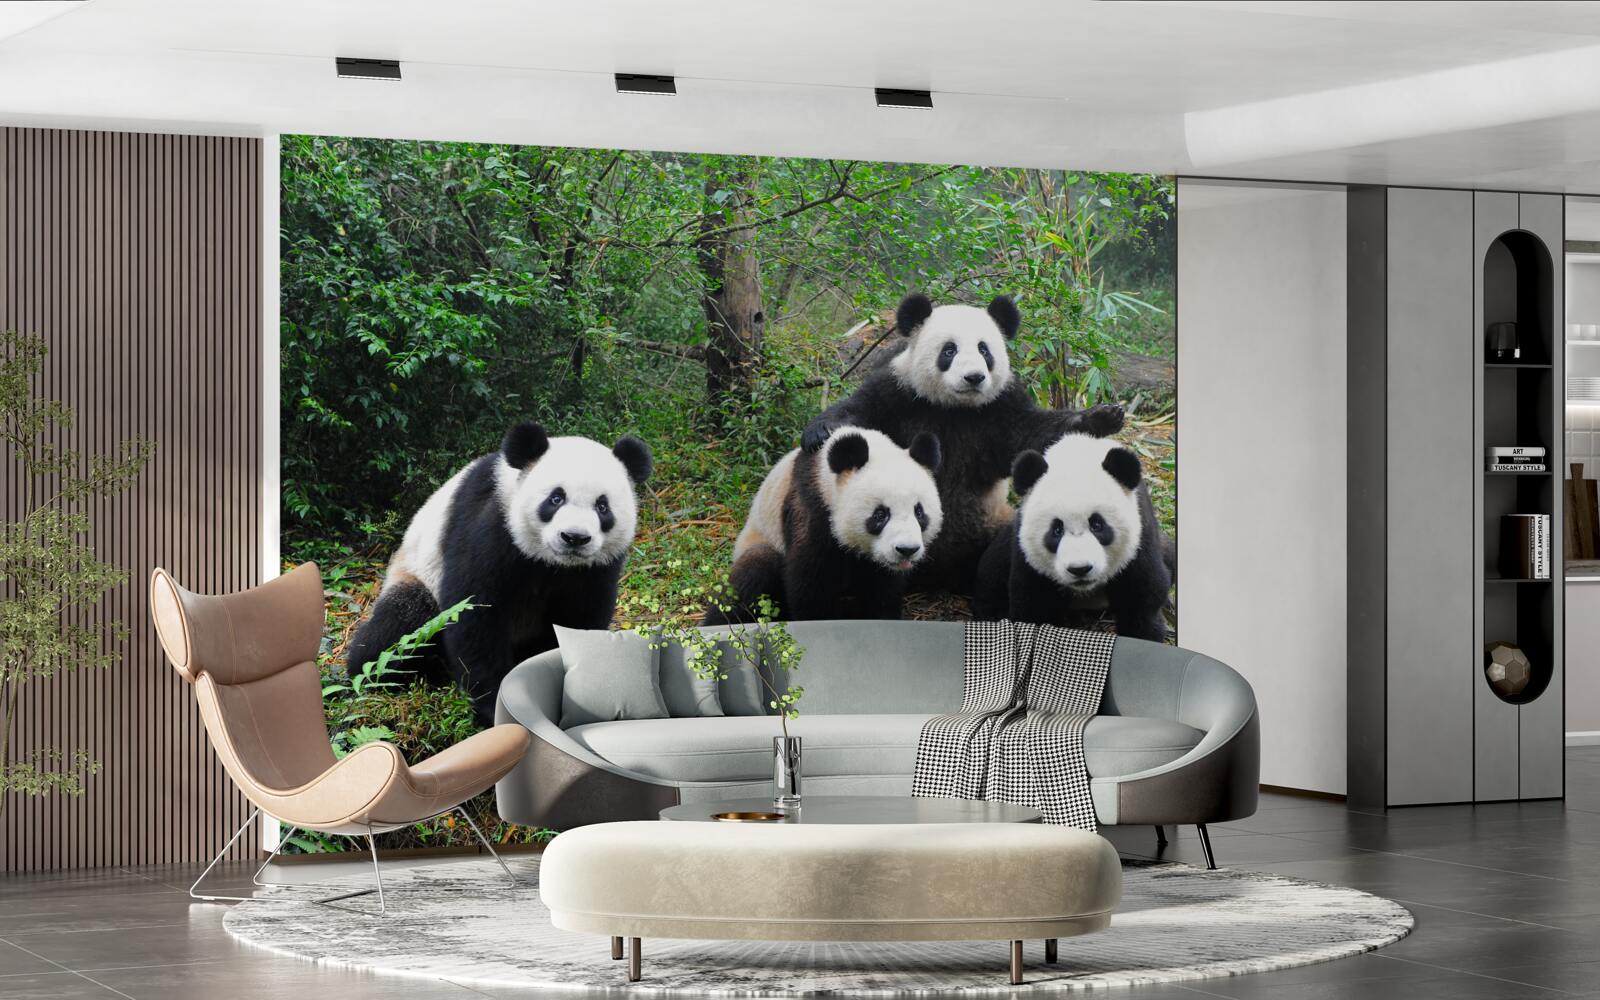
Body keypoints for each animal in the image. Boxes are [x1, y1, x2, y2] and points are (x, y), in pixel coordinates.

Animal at [345, 422, 653, 725]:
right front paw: (494, 706)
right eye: (556, 498)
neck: (552, 563)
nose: (574, 538)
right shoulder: (489, 525)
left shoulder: (596, 568)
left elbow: (580, 617)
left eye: (602, 506)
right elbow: (474, 614)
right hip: (416, 574)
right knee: (401, 625)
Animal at [705, 427, 944, 624]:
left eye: (919, 512)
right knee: (751, 574)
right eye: (880, 514)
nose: (907, 549)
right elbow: (811, 582)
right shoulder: (812, 507)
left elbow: (882, 589)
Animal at [801, 292, 1125, 593]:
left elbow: (1034, 435)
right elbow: (860, 411)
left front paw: (1103, 417)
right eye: (949, 350)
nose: (974, 377)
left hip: (994, 522)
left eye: (984, 350)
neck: (954, 407)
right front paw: (819, 433)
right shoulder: (898, 393)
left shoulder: (1000, 408)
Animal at [972, 433, 1170, 642]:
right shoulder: (1027, 556)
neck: (1077, 458)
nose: (1080, 569)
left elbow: (1142, 599)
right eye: (1057, 530)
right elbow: (1034, 605)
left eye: (1097, 525)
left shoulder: (1141, 539)